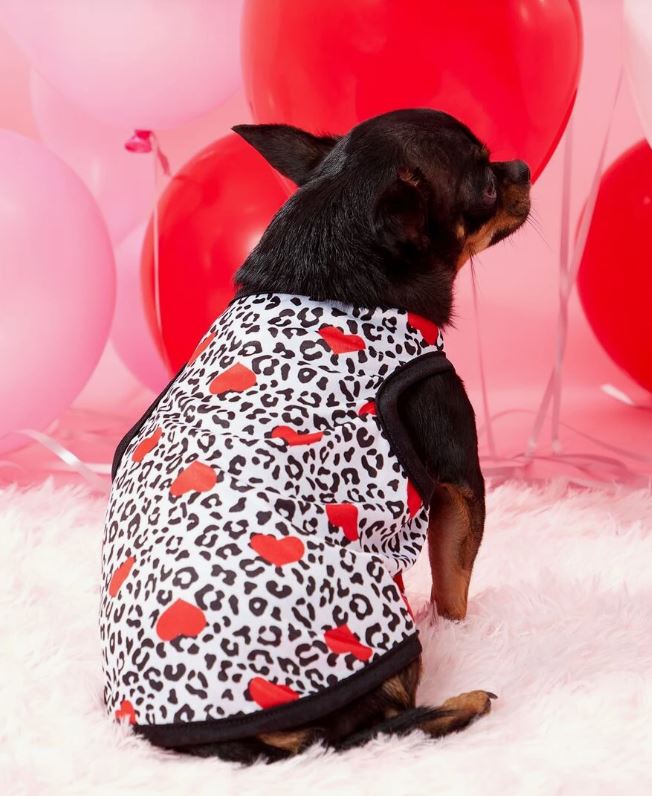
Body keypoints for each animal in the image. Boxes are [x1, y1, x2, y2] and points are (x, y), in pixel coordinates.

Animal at [102, 109, 528, 760]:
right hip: (375, 626)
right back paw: (463, 702)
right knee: (377, 729)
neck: (328, 273)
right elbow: (454, 579)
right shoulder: (460, 479)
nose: (523, 168)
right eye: (484, 182)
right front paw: (462, 626)